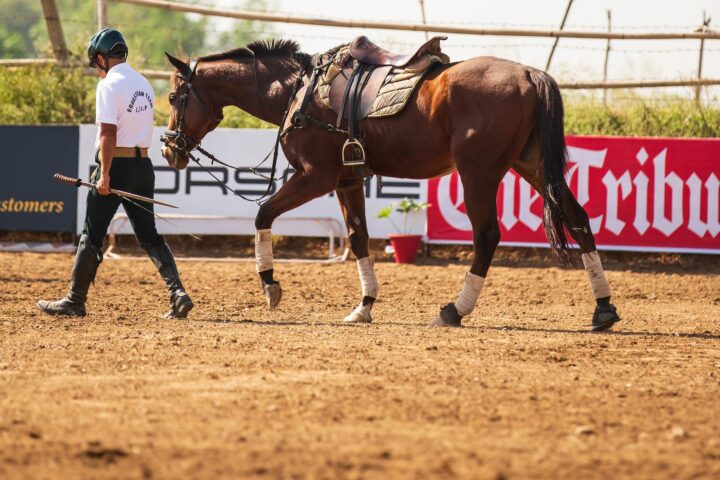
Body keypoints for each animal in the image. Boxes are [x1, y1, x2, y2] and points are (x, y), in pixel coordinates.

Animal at [160, 38, 621, 331]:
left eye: (173, 97)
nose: (169, 150)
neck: (299, 91)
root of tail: (528, 74)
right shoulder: (347, 181)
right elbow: (358, 238)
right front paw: (363, 306)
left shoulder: (315, 177)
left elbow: (263, 213)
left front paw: (270, 284)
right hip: (533, 167)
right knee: (578, 219)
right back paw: (603, 309)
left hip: (479, 172)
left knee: (487, 235)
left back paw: (454, 310)